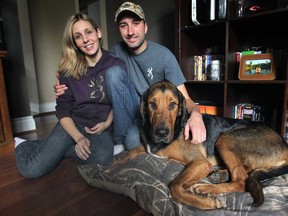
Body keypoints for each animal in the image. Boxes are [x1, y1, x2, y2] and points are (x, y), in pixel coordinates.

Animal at [113, 80, 288, 210]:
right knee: (246, 171)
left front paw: (203, 202)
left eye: (173, 105)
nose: (161, 133)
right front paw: (117, 162)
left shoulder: (200, 163)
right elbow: (135, 149)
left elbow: (175, 186)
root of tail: (284, 144)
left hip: (225, 139)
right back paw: (219, 174)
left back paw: (206, 188)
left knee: (241, 180)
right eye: (152, 104)